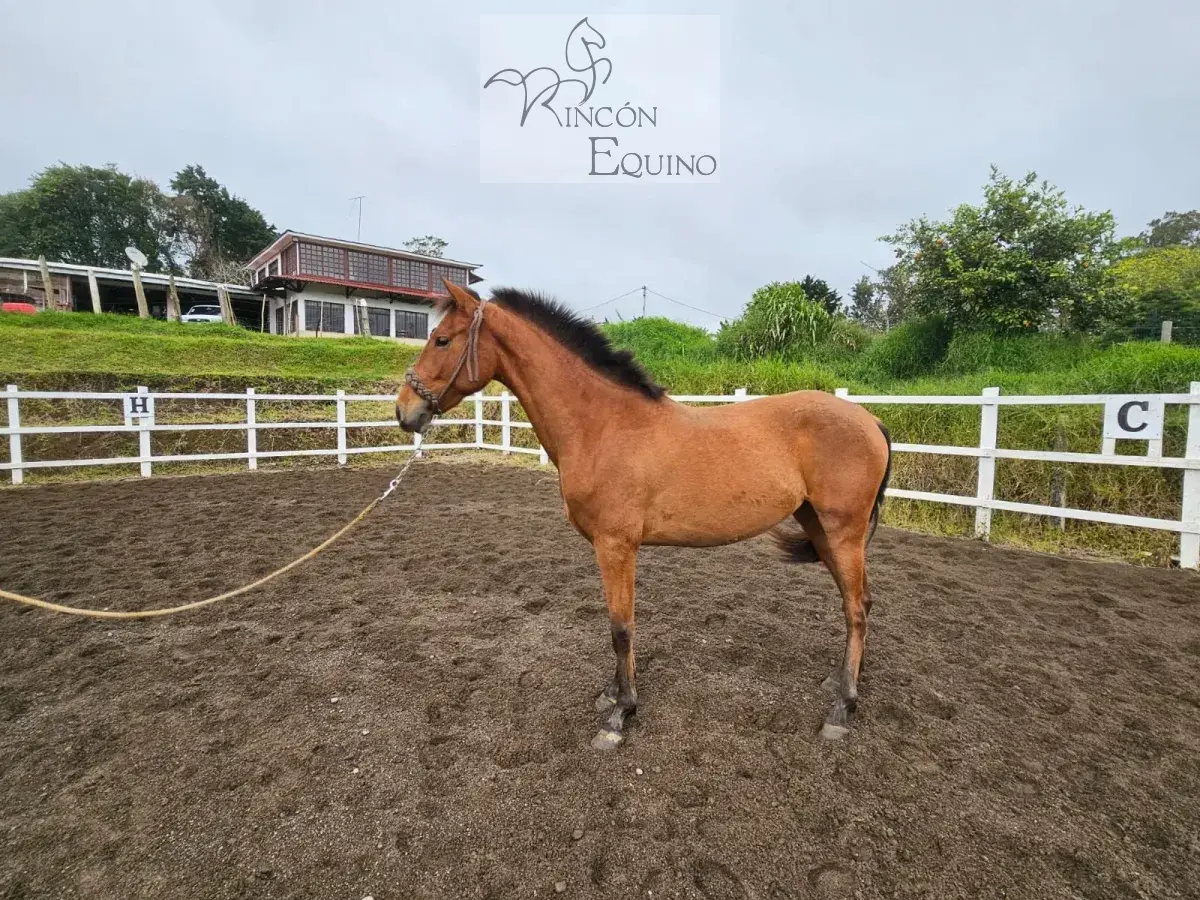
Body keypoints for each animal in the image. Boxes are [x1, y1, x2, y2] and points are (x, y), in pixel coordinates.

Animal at [397, 280, 893, 751]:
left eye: (442, 340)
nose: (405, 411)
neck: (603, 425)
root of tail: (870, 421)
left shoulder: (616, 546)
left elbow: (621, 628)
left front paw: (620, 715)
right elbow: (621, 627)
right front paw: (612, 694)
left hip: (842, 531)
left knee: (855, 609)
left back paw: (841, 709)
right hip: (818, 526)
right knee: (861, 603)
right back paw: (840, 681)